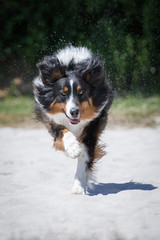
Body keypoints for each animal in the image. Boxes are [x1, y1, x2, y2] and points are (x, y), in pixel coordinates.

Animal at [32, 45, 114, 195]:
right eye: (63, 94)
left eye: (81, 92)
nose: (74, 112)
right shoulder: (53, 123)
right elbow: (63, 133)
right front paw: (72, 148)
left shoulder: (91, 131)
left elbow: (84, 159)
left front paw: (78, 187)